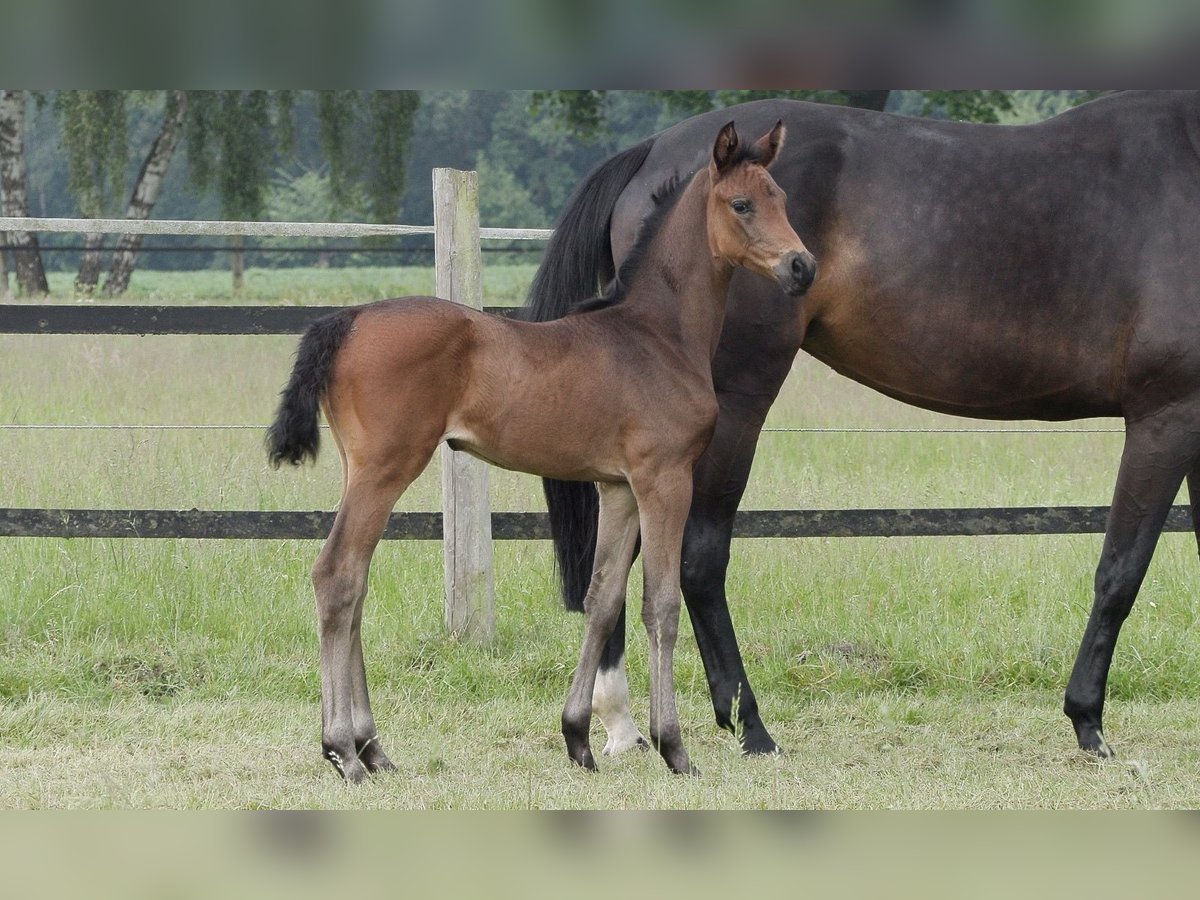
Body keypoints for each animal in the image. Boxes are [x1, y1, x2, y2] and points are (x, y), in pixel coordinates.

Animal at [270, 121, 816, 782]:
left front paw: (578, 738)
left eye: (782, 198)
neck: (657, 335)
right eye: (741, 204)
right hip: (386, 468)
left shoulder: (618, 487)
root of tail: (348, 319)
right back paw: (344, 752)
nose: (802, 266)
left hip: (360, 470)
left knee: (356, 583)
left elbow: (602, 597)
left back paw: (373, 749)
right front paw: (674, 748)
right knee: (338, 577)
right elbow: (660, 603)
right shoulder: (664, 478)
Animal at [528, 91, 1200, 763]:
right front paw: (1087, 720)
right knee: (698, 556)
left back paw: (618, 722)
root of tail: (653, 152)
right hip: (729, 408)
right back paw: (749, 725)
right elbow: (1121, 570)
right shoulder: (1166, 417)